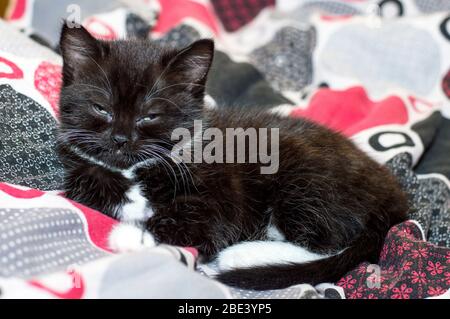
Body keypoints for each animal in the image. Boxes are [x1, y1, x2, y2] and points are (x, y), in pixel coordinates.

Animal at [55, 23, 408, 292]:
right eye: (101, 108)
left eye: (150, 115)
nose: (120, 138)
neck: (137, 171)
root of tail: (394, 197)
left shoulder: (221, 198)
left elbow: (201, 223)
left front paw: (133, 236)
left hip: (306, 176)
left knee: (327, 244)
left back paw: (241, 256)